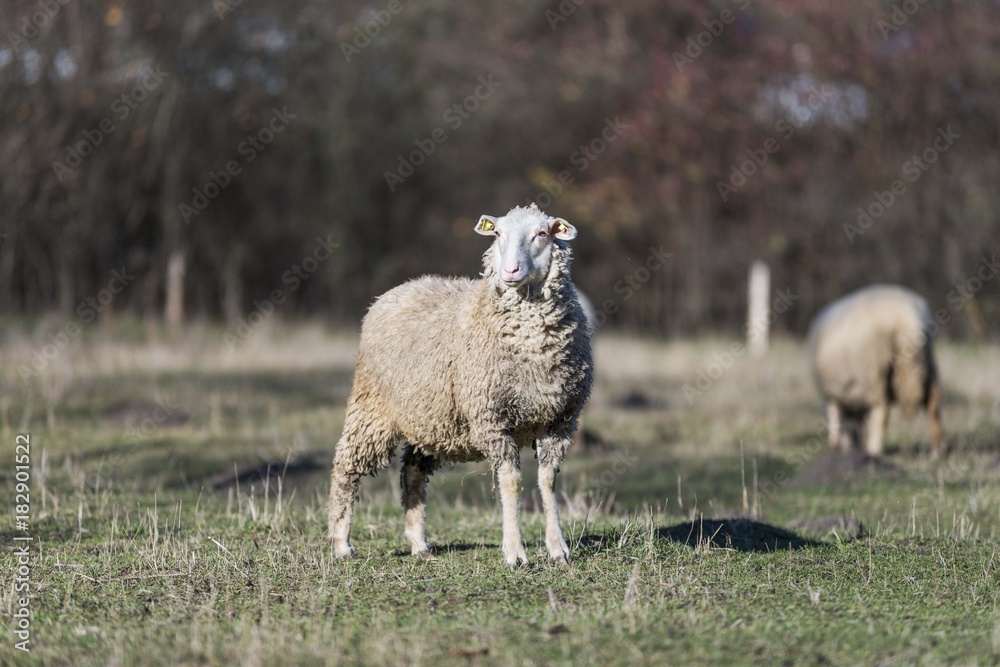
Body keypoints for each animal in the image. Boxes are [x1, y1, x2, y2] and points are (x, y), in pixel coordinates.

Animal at [328, 203, 593, 567]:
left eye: (542, 233)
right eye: (498, 234)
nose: (510, 271)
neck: (531, 349)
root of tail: (397, 289)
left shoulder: (559, 419)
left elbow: (548, 481)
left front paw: (558, 549)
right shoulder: (492, 418)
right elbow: (510, 482)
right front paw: (515, 553)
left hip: (432, 421)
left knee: (412, 472)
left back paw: (420, 544)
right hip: (371, 409)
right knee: (346, 469)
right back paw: (341, 543)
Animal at [807, 284, 943, 457]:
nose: (854, 447)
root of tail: (905, 317)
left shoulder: (830, 395)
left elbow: (835, 419)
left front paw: (834, 446)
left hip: (872, 370)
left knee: (882, 410)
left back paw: (874, 450)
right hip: (928, 364)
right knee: (934, 408)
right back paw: (936, 452)